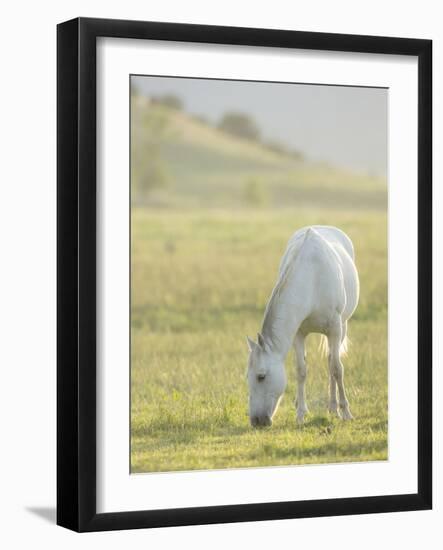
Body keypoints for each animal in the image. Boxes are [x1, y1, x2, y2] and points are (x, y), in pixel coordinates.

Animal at [248, 226, 360, 430]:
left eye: (261, 376)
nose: (256, 421)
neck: (312, 277)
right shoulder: (298, 334)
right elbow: (301, 370)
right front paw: (300, 414)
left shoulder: (335, 328)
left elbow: (337, 368)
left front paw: (346, 412)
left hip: (342, 327)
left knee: (332, 362)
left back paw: (334, 408)